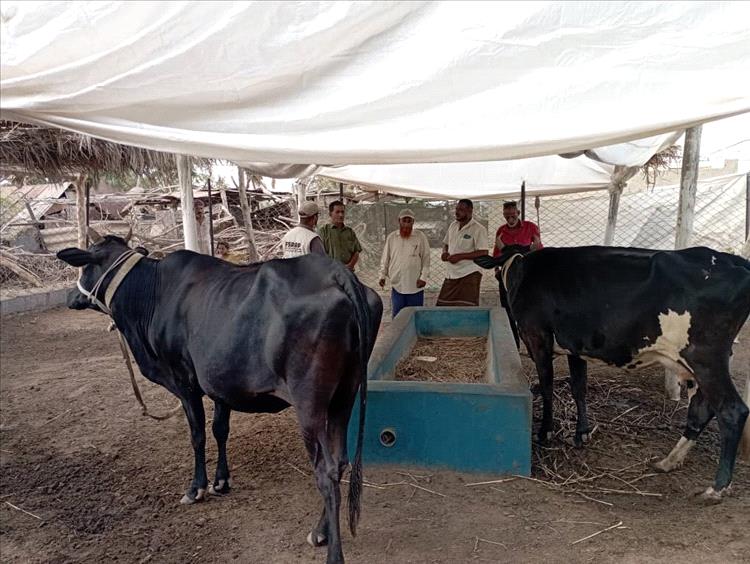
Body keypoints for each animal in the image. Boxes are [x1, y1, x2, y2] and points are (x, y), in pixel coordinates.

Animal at [478, 245, 748, 500]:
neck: (522, 269)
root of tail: (733, 260)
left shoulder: (538, 339)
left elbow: (547, 387)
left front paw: (545, 432)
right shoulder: (575, 347)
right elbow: (579, 388)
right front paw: (582, 434)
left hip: (705, 359)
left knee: (732, 410)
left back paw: (716, 488)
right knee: (702, 409)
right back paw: (668, 461)